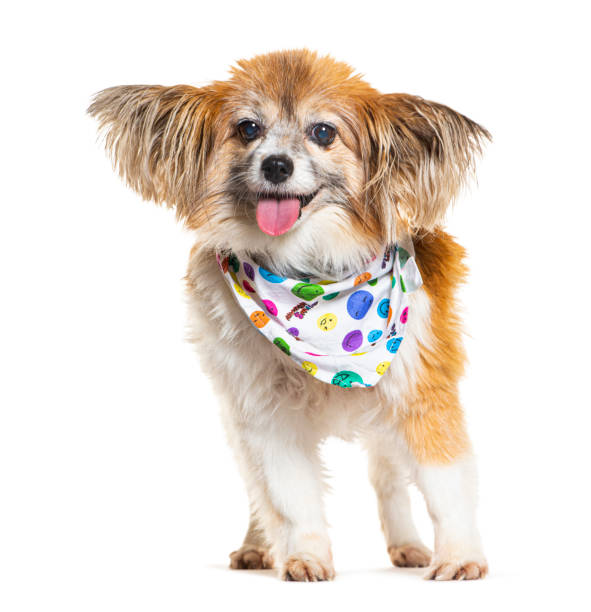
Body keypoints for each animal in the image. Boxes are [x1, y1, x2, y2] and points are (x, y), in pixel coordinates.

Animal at [89, 50, 490, 580]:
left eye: (323, 132)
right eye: (247, 128)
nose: (277, 164)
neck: (310, 277)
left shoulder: (420, 389)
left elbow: (444, 484)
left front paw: (461, 557)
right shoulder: (264, 414)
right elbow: (287, 495)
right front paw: (304, 557)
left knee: (386, 475)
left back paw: (406, 544)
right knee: (258, 491)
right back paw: (259, 545)